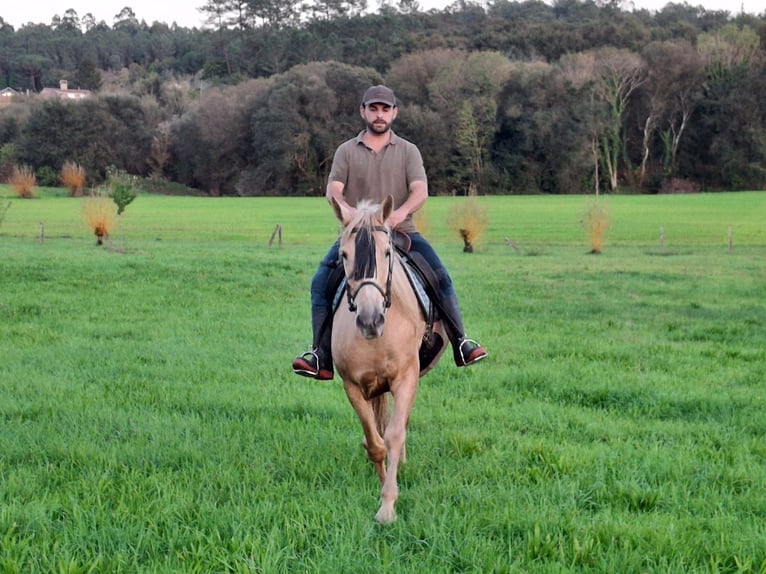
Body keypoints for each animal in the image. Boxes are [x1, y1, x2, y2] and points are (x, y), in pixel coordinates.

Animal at [332, 197, 450, 528]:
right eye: (343, 255)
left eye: (387, 253)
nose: (370, 320)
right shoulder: (352, 386)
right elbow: (376, 442)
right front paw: (382, 479)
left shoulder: (406, 378)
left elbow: (395, 434)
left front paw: (387, 505)